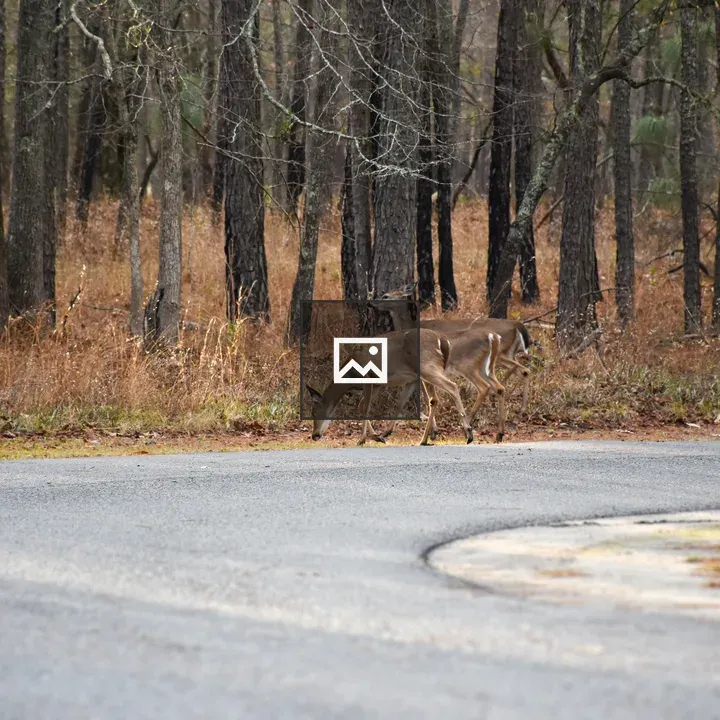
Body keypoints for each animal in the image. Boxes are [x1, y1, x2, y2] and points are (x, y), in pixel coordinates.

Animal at [305, 328, 490, 446]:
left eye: (314, 411)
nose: (314, 436)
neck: (349, 376)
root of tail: (443, 342)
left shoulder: (368, 377)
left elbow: (364, 407)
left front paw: (362, 439)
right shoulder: (388, 383)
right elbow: (371, 405)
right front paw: (379, 436)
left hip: (427, 367)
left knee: (452, 386)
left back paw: (469, 433)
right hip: (421, 374)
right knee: (433, 399)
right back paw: (425, 439)